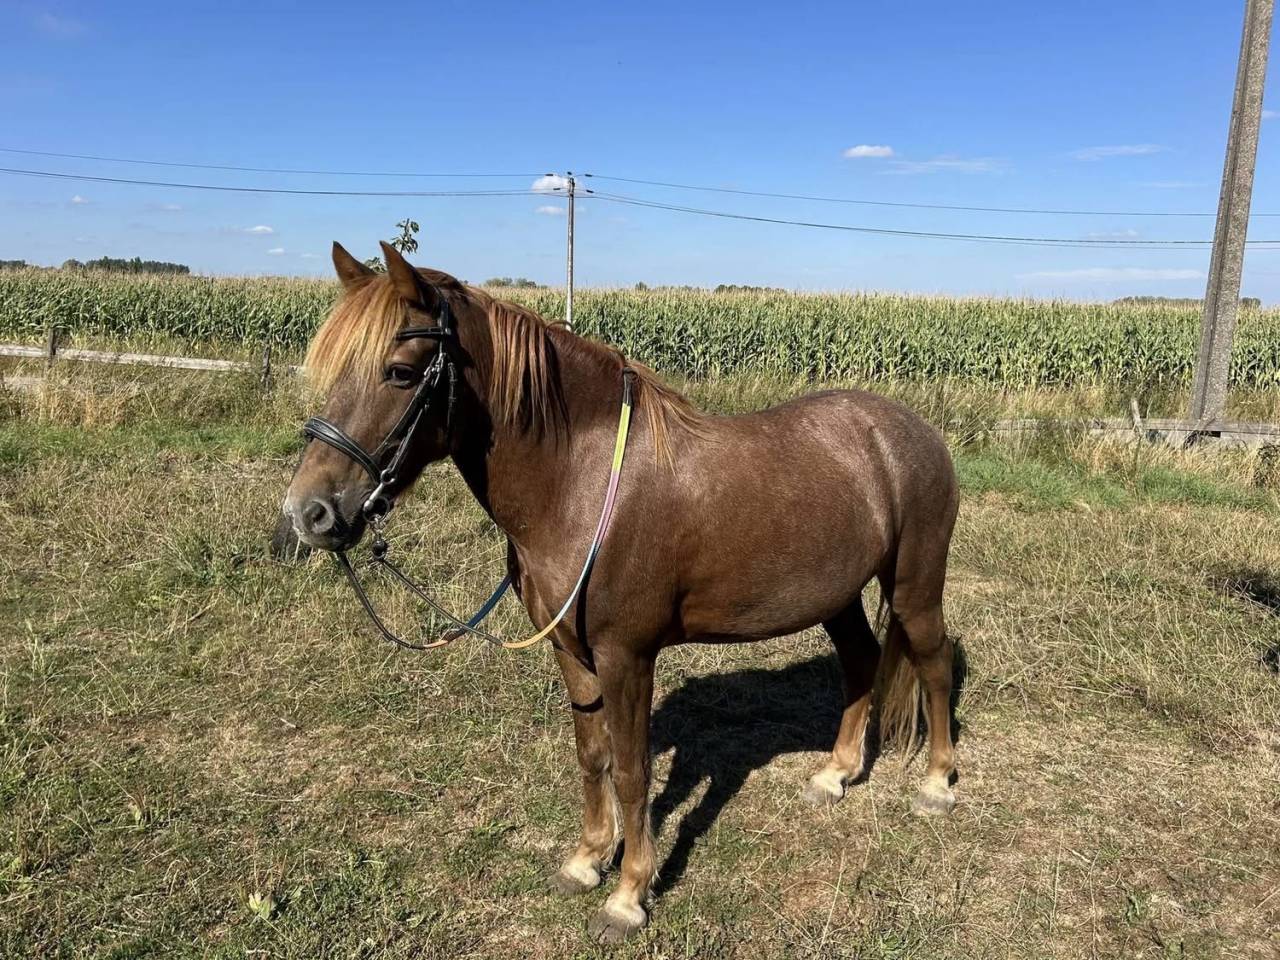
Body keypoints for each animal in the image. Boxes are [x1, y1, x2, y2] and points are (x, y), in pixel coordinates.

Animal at [283, 241, 961, 944]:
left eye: (398, 372)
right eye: (334, 370)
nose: (309, 514)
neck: (578, 483)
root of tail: (912, 432)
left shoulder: (626, 656)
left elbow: (634, 771)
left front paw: (630, 892)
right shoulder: (570, 650)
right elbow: (593, 755)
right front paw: (587, 860)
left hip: (914, 587)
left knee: (935, 663)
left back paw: (938, 785)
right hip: (837, 597)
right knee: (860, 662)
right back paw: (836, 773)